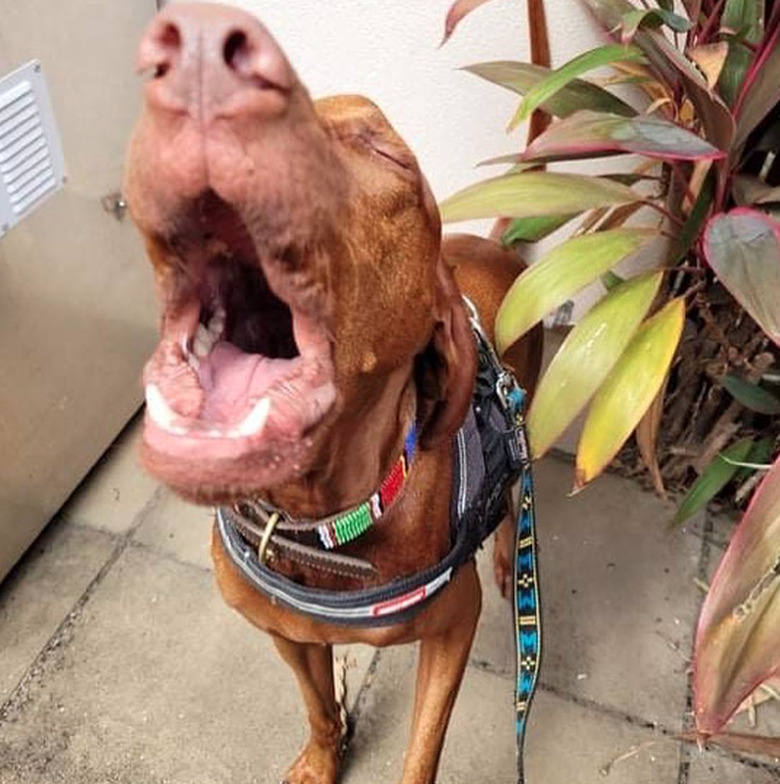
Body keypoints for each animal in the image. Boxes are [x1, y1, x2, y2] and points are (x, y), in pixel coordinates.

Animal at [126, 3, 544, 780]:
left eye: (387, 154)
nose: (201, 46)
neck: (320, 524)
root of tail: (499, 247)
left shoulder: (453, 628)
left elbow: (421, 753)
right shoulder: (287, 632)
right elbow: (320, 707)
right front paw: (323, 760)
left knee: (518, 507)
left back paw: (510, 554)